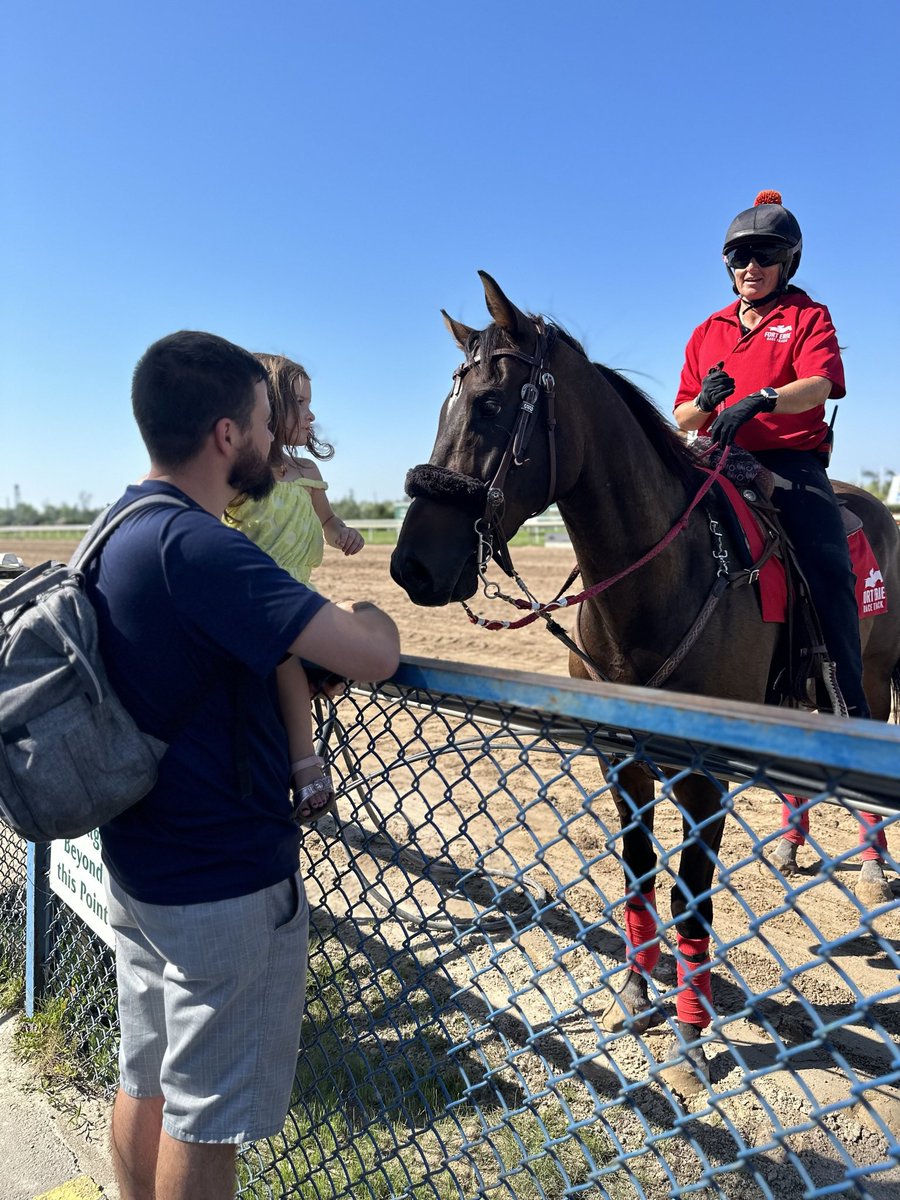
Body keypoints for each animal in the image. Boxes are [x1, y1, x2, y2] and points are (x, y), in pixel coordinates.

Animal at [390, 271, 900, 1093]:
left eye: (492, 405)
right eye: (447, 405)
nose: (412, 564)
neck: (667, 573)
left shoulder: (702, 777)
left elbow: (693, 904)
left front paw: (690, 1039)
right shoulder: (623, 761)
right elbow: (637, 879)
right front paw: (634, 994)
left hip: (873, 679)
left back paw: (879, 868)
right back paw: (794, 847)